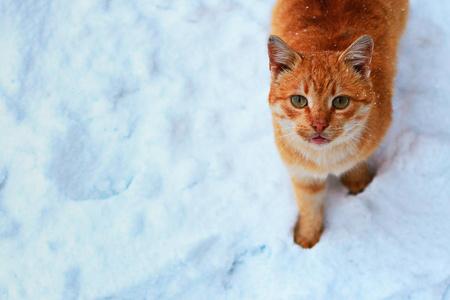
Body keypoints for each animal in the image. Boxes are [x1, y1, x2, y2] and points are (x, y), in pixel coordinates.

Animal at [268, 0, 410, 247]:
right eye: (298, 100)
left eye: (341, 101)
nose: (318, 125)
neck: (326, 159)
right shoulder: (302, 174)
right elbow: (309, 207)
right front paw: (308, 237)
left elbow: (357, 163)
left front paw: (358, 182)